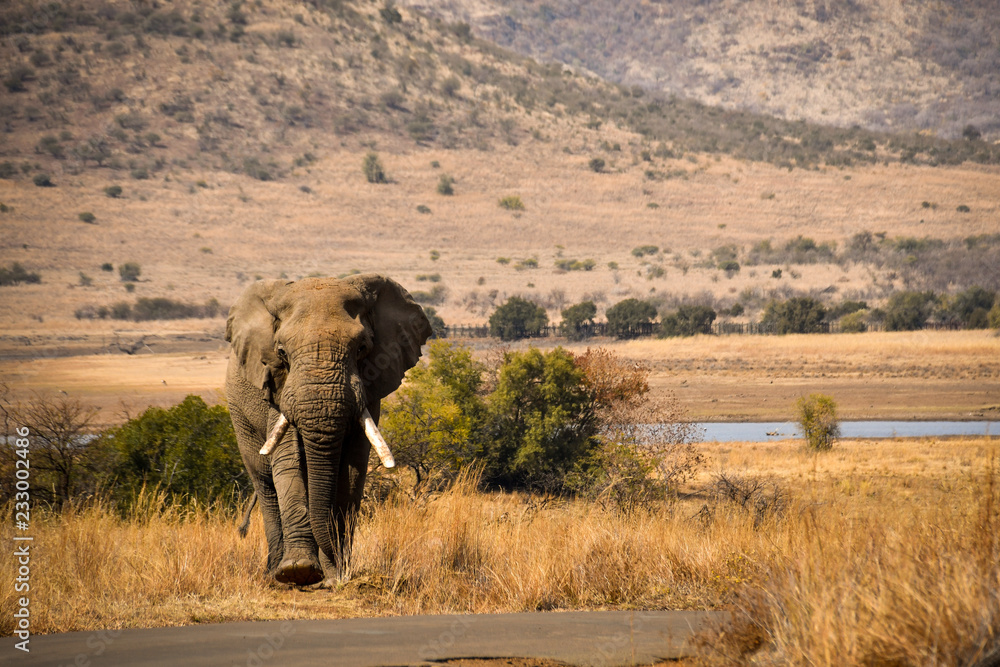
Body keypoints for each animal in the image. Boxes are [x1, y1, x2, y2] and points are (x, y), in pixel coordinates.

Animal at [225, 274, 432, 586]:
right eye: (281, 352)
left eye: (362, 348)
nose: (334, 567)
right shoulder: (278, 387)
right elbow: (287, 461)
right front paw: (298, 571)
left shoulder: (369, 392)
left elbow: (353, 469)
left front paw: (335, 575)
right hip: (239, 414)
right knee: (264, 481)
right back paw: (275, 572)